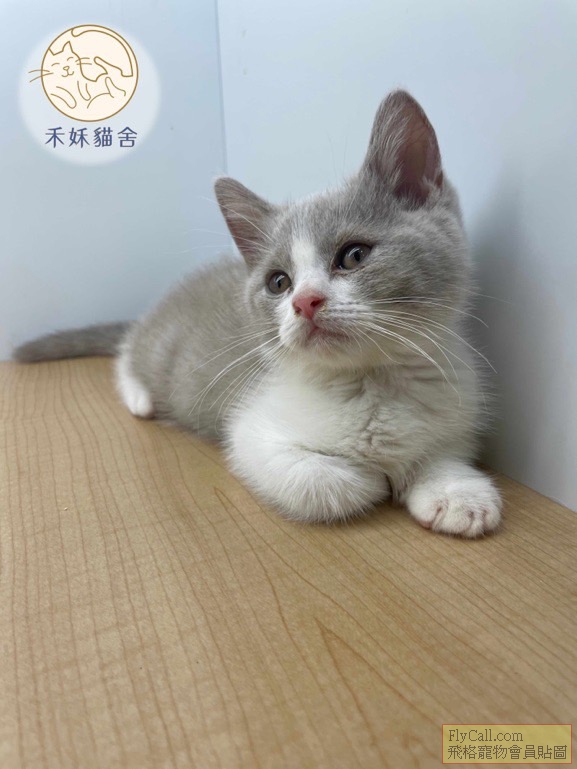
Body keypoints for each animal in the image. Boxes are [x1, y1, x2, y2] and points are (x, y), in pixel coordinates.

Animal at [14, 90, 502, 536]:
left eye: (354, 255)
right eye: (279, 282)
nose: (305, 301)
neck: (370, 381)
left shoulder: (455, 416)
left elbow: (440, 452)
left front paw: (456, 492)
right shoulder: (253, 433)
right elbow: (325, 483)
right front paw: (372, 478)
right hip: (155, 348)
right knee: (126, 350)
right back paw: (140, 397)